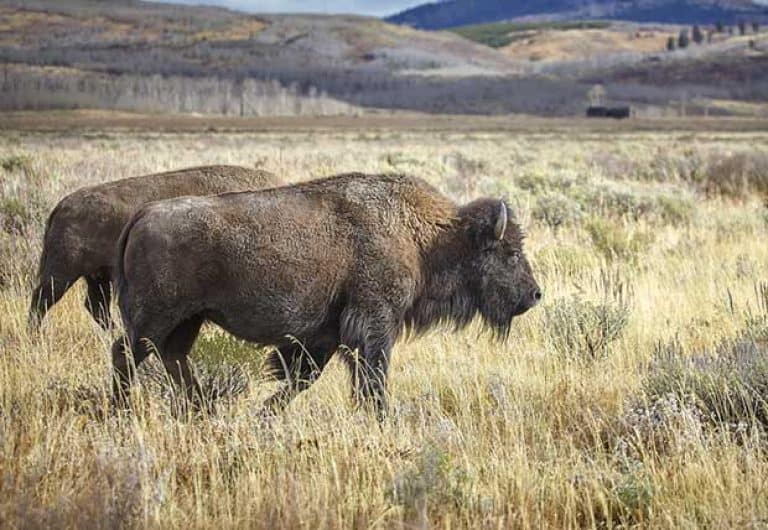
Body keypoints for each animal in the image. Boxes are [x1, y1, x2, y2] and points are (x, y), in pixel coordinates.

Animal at [112, 173, 541, 419]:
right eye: (508, 252)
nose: (535, 294)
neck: (424, 238)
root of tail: (144, 214)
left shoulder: (327, 335)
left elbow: (305, 378)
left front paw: (263, 414)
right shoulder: (374, 323)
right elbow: (372, 376)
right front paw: (381, 419)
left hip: (189, 319)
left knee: (172, 357)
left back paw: (201, 411)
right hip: (156, 317)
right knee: (127, 353)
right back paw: (121, 412)